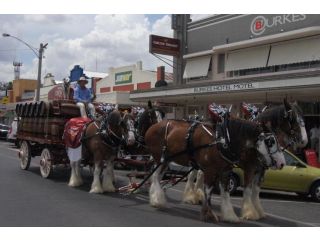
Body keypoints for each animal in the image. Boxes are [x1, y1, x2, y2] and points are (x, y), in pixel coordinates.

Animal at [145, 119, 284, 222]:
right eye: (270, 141)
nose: (281, 163)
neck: (222, 141)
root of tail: (152, 127)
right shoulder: (211, 170)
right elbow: (208, 191)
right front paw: (208, 213)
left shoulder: (225, 171)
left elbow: (225, 192)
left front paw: (229, 215)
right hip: (160, 159)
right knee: (155, 177)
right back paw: (157, 200)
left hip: (166, 161)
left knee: (156, 177)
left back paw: (154, 198)